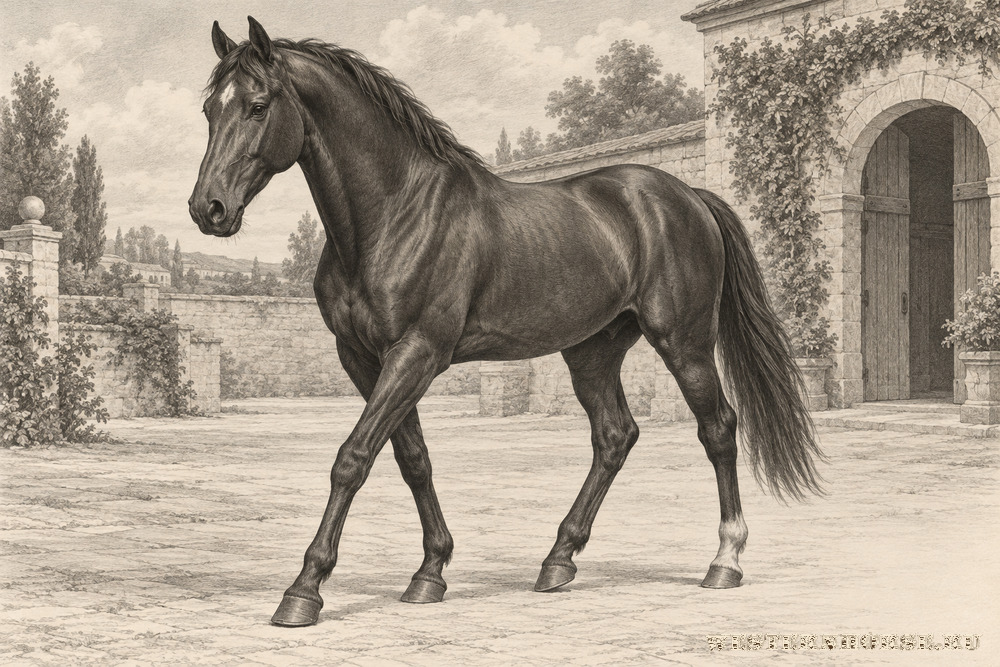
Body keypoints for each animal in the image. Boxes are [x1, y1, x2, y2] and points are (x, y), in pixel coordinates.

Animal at [189, 17, 824, 627]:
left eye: (258, 105)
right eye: (210, 108)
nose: (208, 209)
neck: (397, 213)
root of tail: (688, 194)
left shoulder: (416, 353)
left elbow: (352, 459)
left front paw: (304, 590)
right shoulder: (363, 359)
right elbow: (411, 458)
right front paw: (431, 572)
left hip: (684, 343)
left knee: (718, 428)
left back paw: (725, 560)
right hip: (592, 351)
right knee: (614, 436)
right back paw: (558, 561)